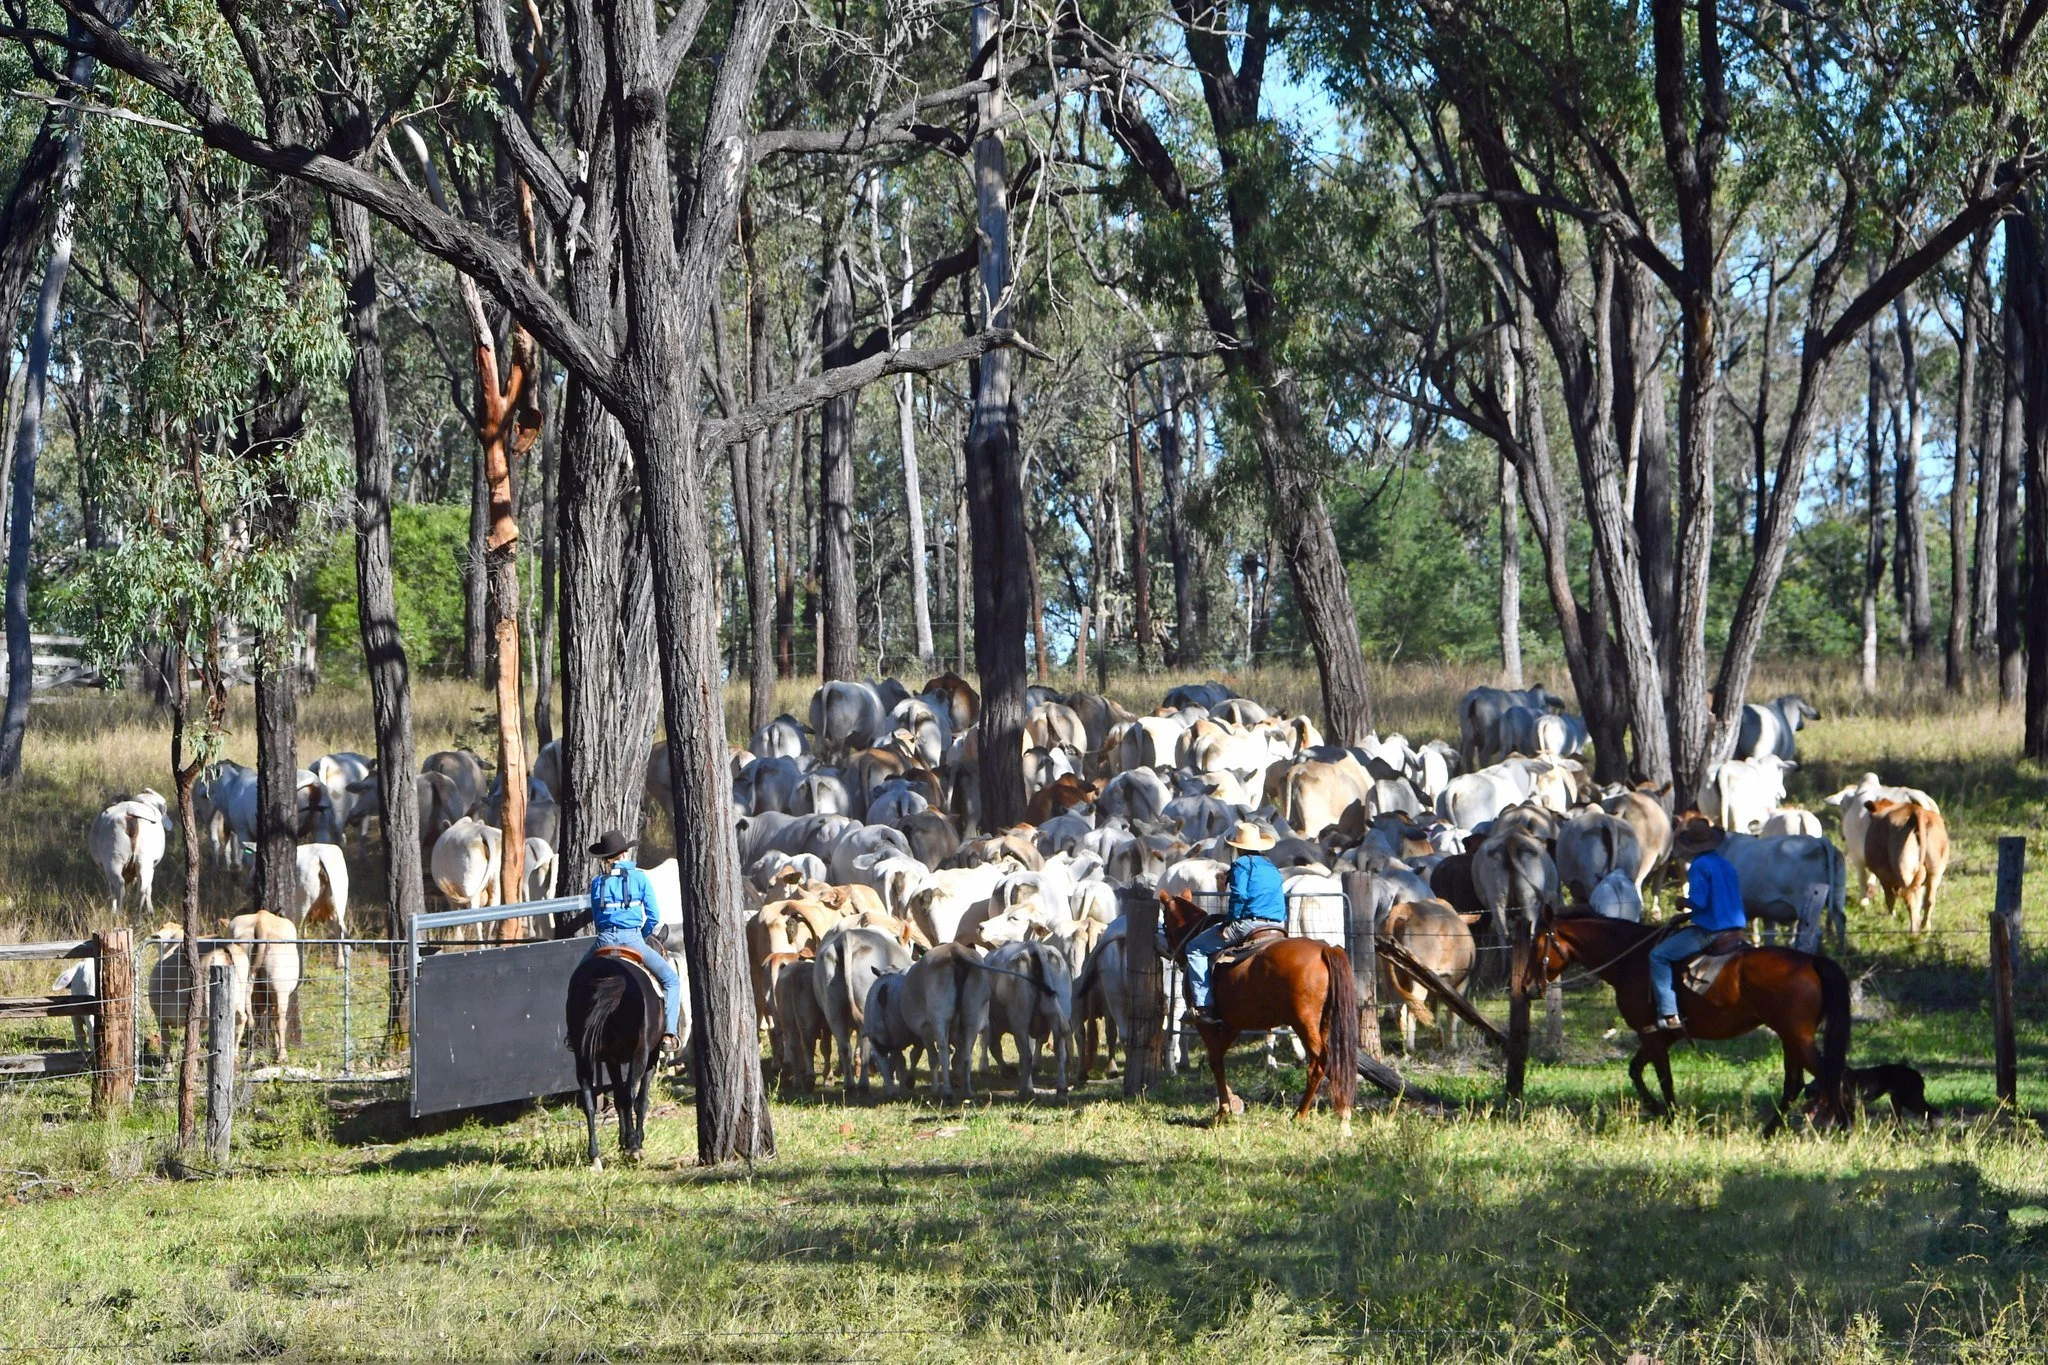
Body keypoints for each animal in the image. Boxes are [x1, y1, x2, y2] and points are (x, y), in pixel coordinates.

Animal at [88, 790, 171, 919]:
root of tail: (130, 811)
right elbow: (149, 888)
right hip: (143, 862)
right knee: (142, 888)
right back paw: (137, 915)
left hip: (114, 861)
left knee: (120, 886)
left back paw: (117, 913)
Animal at [1864, 798, 1950, 935]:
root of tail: (1917, 811)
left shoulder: (1883, 877)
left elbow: (1889, 899)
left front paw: (1891, 919)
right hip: (1935, 871)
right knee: (1929, 900)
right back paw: (1925, 927)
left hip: (1904, 871)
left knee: (1909, 899)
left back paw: (1913, 931)